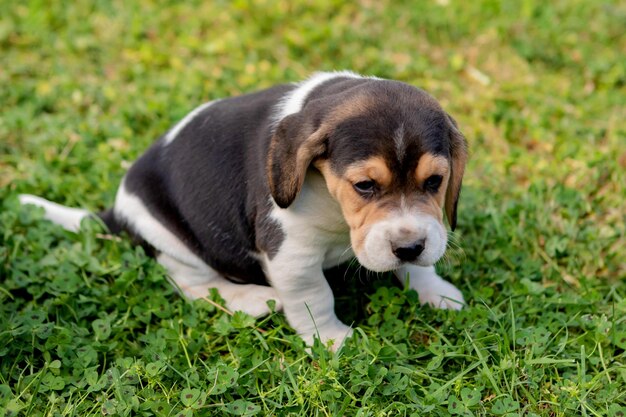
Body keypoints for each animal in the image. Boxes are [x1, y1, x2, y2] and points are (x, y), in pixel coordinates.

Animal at [19, 71, 466, 348]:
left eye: (434, 182)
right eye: (365, 186)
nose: (407, 247)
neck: (336, 208)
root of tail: (115, 211)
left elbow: (419, 264)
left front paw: (433, 290)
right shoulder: (291, 254)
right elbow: (315, 297)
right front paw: (333, 340)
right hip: (171, 238)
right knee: (190, 284)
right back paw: (253, 300)